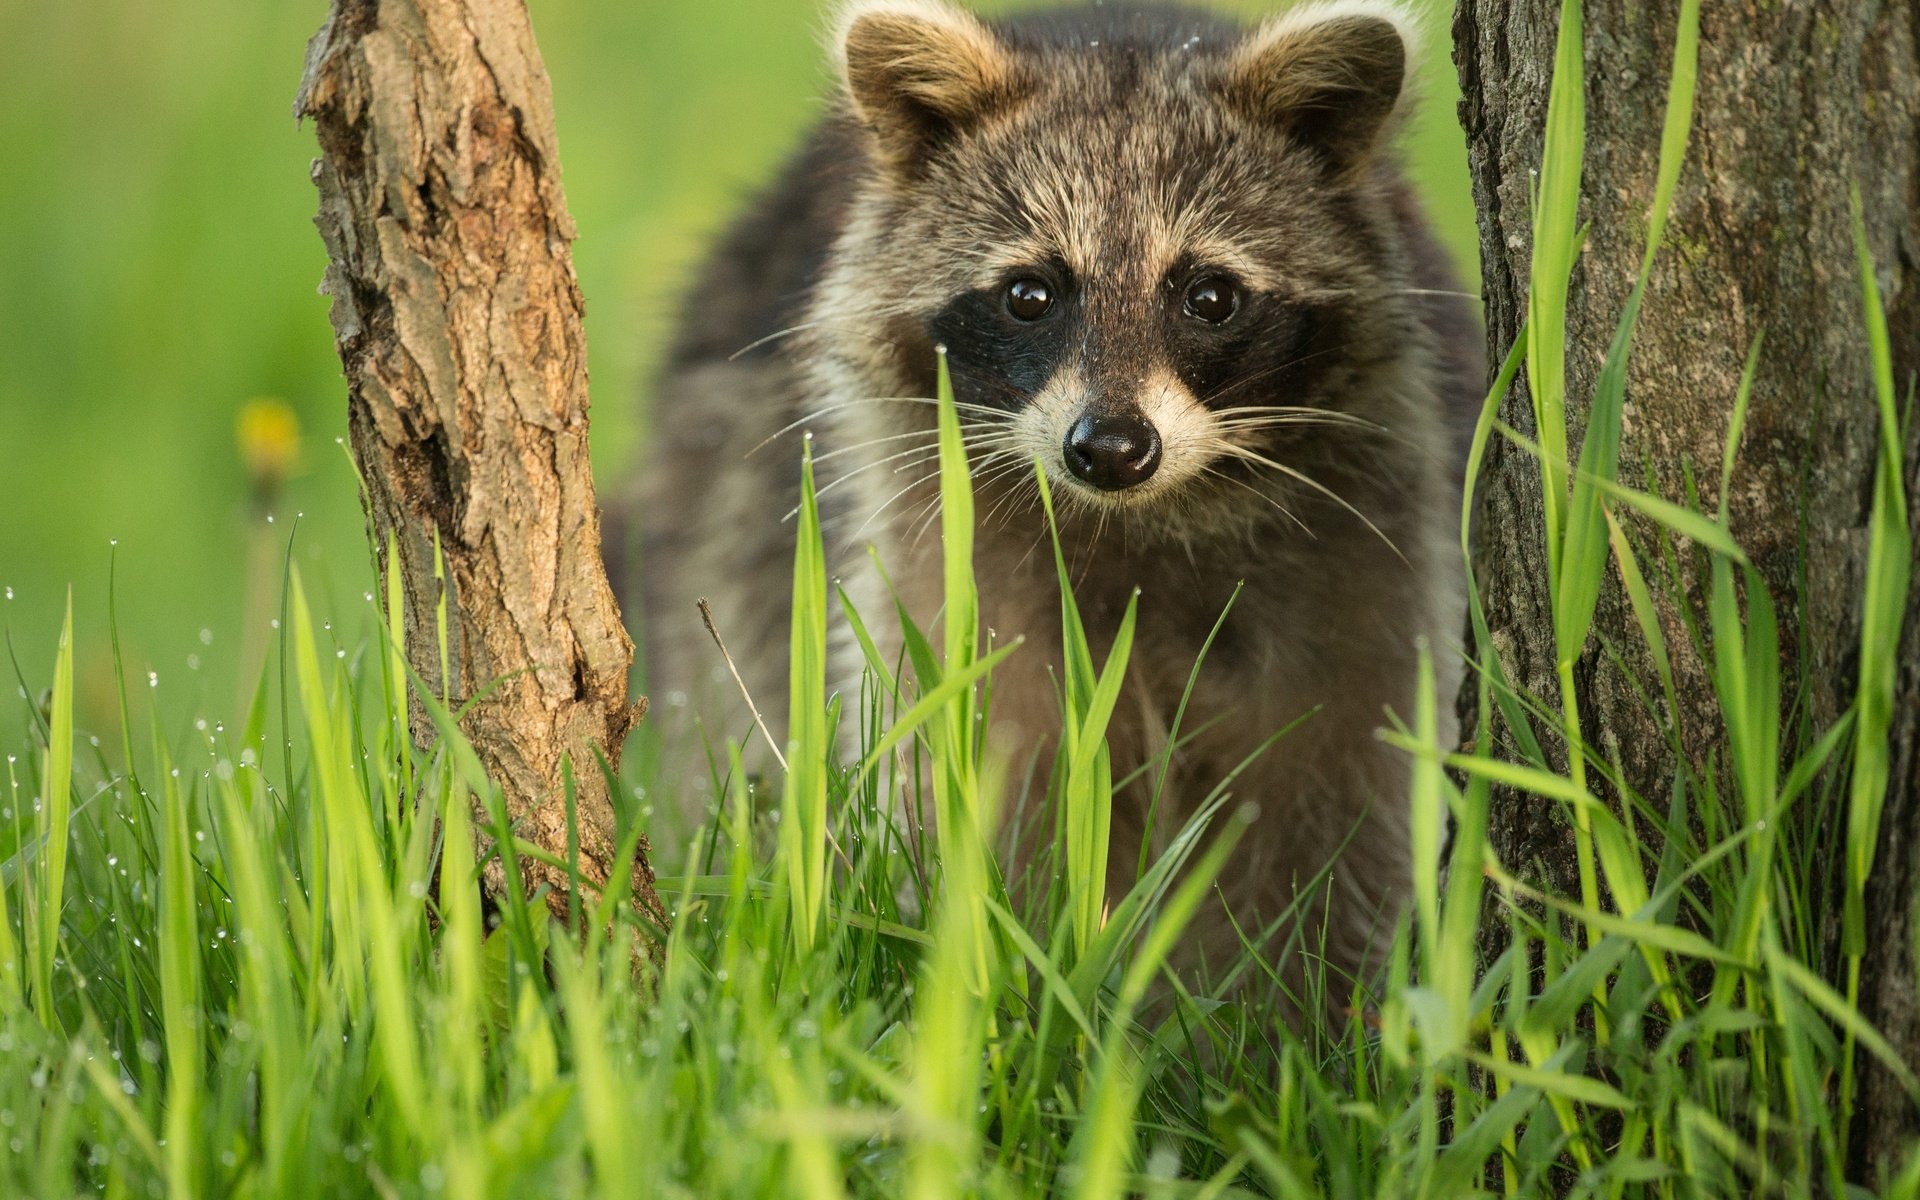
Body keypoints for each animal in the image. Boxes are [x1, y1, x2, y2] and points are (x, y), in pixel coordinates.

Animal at [618, 0, 1482, 990]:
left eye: (1209, 295)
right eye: (1031, 294)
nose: (1111, 450)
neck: (1143, 520)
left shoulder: (1369, 525)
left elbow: (1341, 792)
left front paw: (1293, 1002)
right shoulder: (937, 541)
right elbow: (979, 767)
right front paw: (1011, 968)